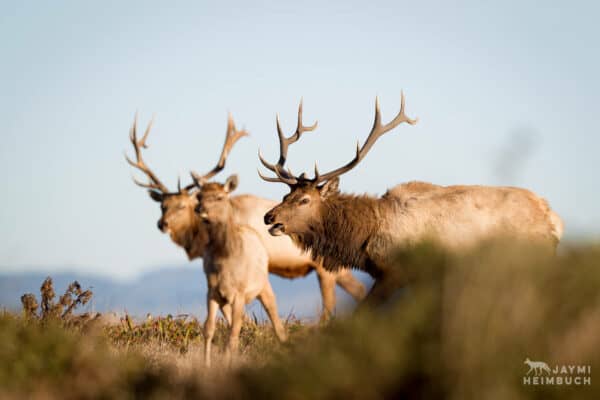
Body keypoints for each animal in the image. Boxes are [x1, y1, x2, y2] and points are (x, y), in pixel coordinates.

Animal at [258, 94, 564, 306]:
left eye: (304, 200)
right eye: (286, 194)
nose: (269, 217)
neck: (365, 236)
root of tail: (553, 218)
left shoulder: (396, 273)